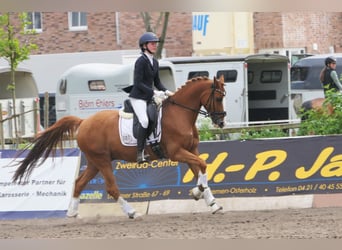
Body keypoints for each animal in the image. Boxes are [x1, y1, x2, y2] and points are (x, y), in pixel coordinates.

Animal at [11, 75, 227, 219]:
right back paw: (132, 212)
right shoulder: (177, 153)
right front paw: (200, 193)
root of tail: (84, 122)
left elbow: (200, 168)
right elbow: (203, 165)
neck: (180, 114)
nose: (221, 122)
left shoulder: (191, 150)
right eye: (218, 98)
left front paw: (208, 200)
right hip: (102, 160)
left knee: (79, 183)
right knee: (112, 188)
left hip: (94, 162)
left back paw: (72, 212)